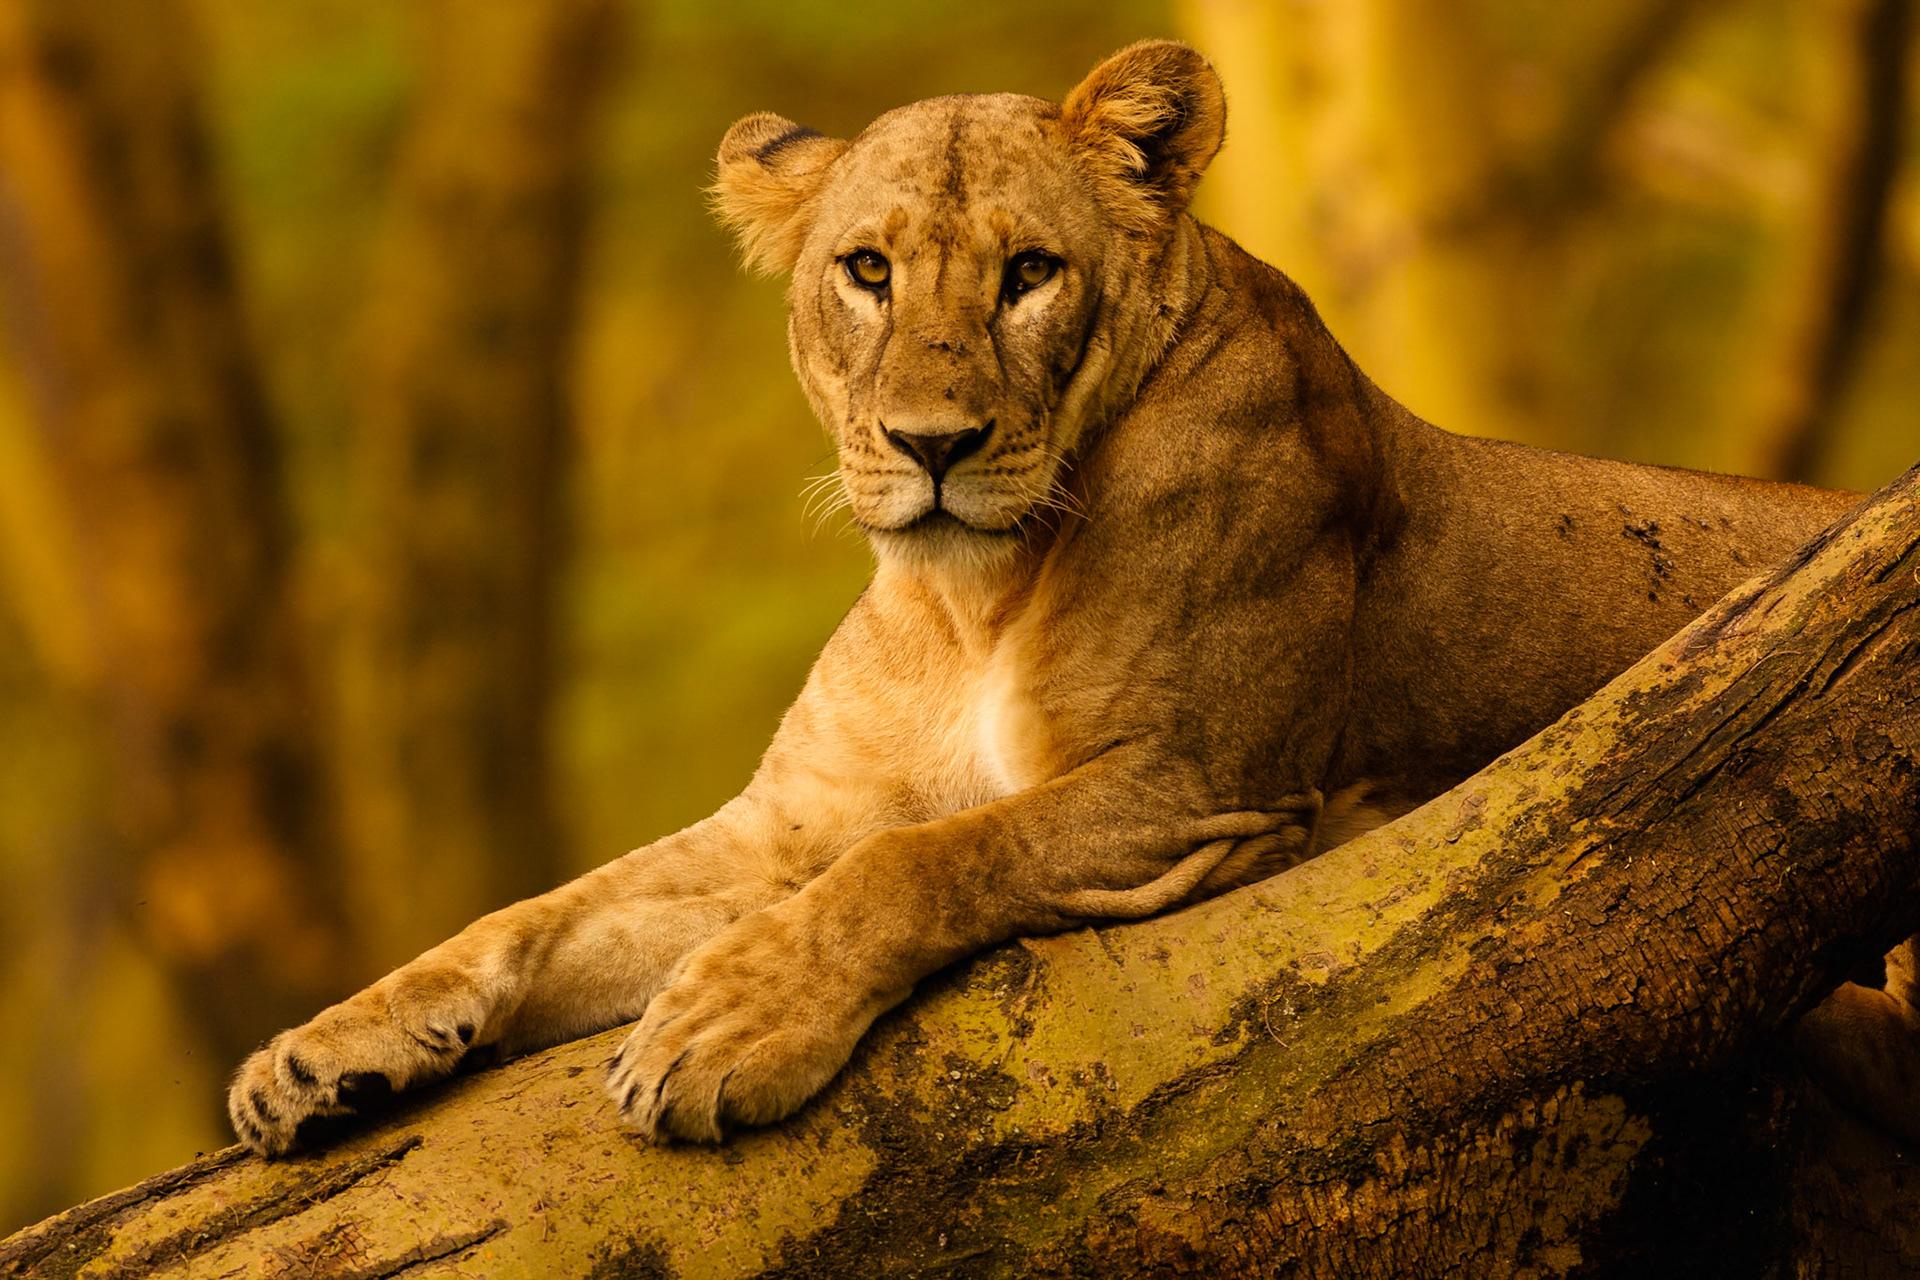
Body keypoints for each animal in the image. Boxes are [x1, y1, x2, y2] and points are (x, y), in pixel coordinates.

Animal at [228, 40, 1914, 1154]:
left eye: (1029, 272)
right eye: (866, 272)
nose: (932, 444)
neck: (963, 597)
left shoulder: (1204, 781)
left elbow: (929, 857)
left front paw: (721, 1031)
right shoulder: (787, 821)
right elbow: (539, 914)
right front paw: (322, 1053)